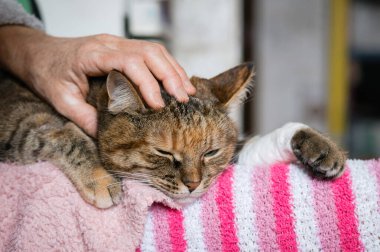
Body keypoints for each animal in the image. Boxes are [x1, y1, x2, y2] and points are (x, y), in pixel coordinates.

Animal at [0, 63, 346, 209]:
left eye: (210, 153)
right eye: (164, 153)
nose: (193, 185)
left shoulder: (236, 152)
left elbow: (260, 141)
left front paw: (319, 145)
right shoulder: (24, 121)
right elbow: (64, 133)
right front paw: (103, 182)